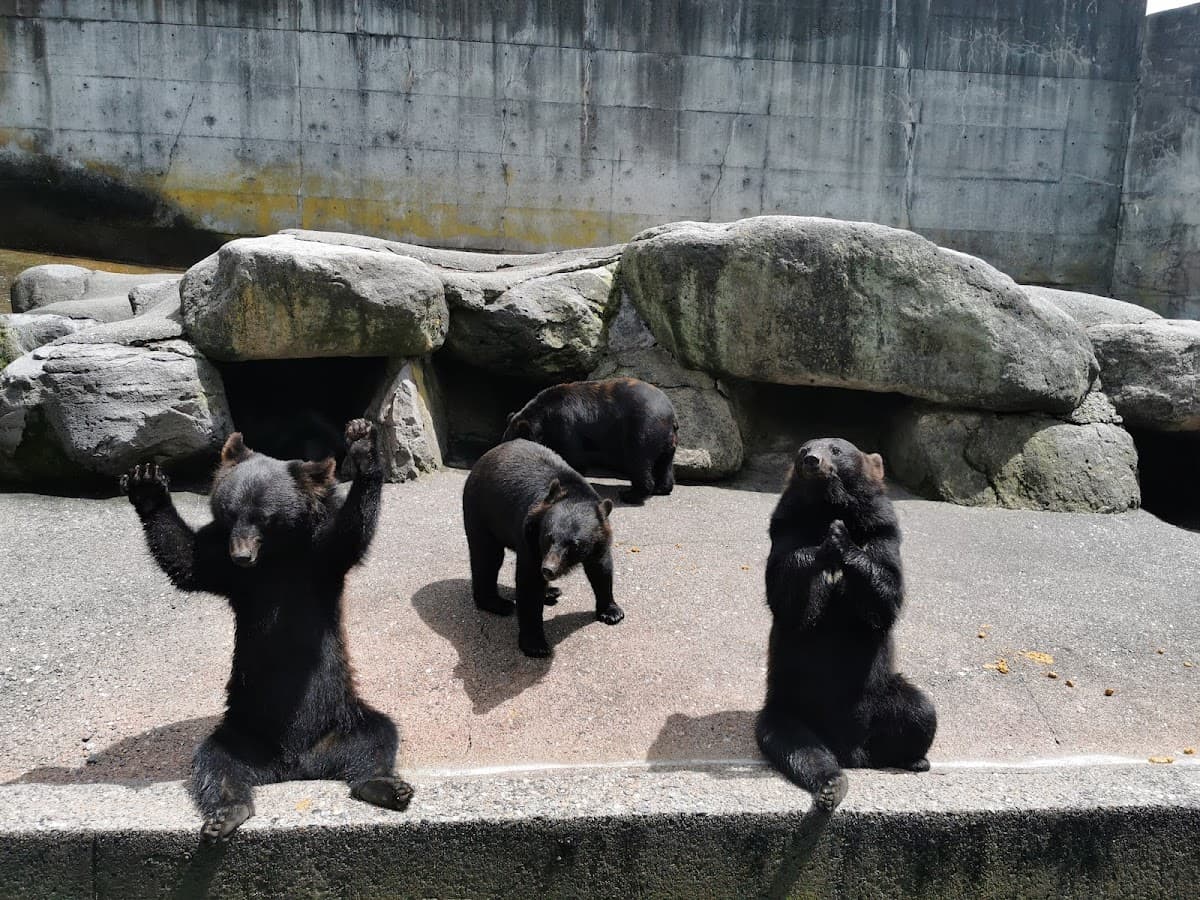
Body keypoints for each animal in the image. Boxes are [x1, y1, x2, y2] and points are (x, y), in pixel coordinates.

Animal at [120, 418, 412, 841]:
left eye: (265, 516)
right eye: (230, 512)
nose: (242, 555)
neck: (275, 558)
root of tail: (296, 764)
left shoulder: (318, 558)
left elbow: (351, 533)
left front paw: (362, 447)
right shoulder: (227, 568)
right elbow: (187, 561)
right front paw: (147, 485)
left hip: (342, 718)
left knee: (378, 740)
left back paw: (385, 786)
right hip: (241, 733)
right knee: (215, 764)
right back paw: (228, 812)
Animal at [462, 438, 623, 658]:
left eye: (574, 545)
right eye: (548, 537)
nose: (548, 569)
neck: (573, 492)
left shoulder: (600, 540)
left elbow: (601, 569)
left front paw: (612, 612)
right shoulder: (529, 536)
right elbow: (529, 583)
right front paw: (536, 644)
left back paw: (551, 592)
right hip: (482, 511)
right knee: (487, 557)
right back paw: (498, 603)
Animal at [501, 377, 678, 504]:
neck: (543, 417)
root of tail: (670, 415)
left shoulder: (565, 425)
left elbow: (573, 455)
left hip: (641, 429)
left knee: (638, 460)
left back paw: (630, 494)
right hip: (668, 442)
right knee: (664, 463)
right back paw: (662, 488)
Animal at [756, 437, 936, 812]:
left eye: (836, 449)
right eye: (803, 449)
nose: (811, 459)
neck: (827, 507)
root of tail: (851, 750)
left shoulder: (882, 530)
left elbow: (886, 591)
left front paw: (841, 540)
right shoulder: (786, 527)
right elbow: (786, 592)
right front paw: (825, 547)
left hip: (882, 693)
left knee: (919, 712)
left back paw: (913, 759)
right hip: (790, 704)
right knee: (795, 744)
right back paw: (831, 783)